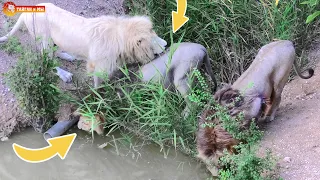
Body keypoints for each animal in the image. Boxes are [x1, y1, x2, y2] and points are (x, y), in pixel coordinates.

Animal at [0, 2, 168, 87]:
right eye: (152, 37)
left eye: (154, 32)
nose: (166, 44)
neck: (119, 37)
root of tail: (25, 12)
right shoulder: (97, 65)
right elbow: (97, 84)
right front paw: (101, 99)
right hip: (44, 38)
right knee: (46, 58)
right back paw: (64, 74)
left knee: (55, 51)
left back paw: (68, 56)